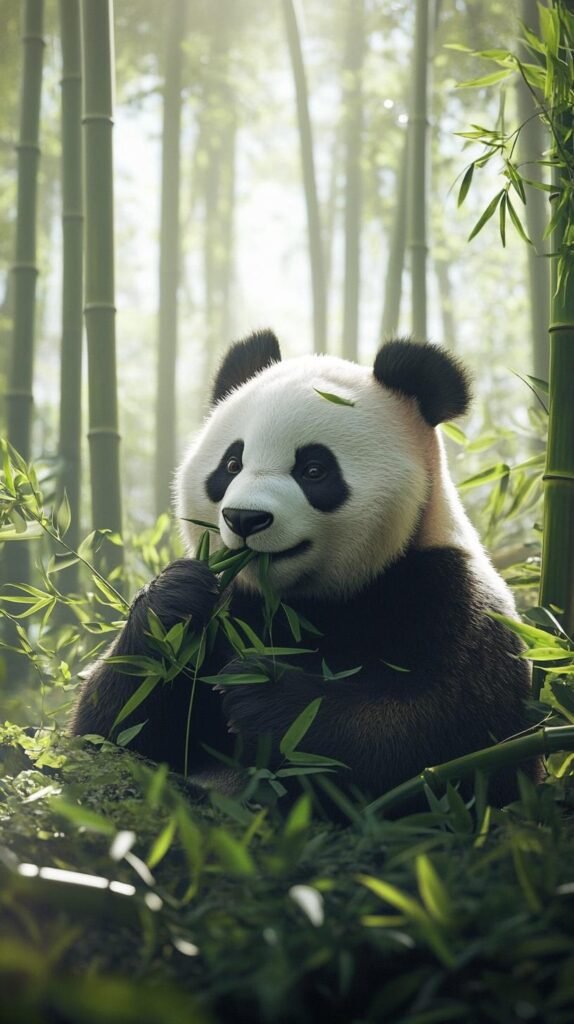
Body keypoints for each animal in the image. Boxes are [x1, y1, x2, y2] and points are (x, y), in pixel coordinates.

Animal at [71, 331, 538, 805]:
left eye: (314, 469)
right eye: (232, 465)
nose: (245, 519)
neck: (301, 602)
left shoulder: (447, 595)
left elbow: (453, 739)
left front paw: (262, 694)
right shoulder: (234, 608)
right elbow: (115, 733)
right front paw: (176, 597)